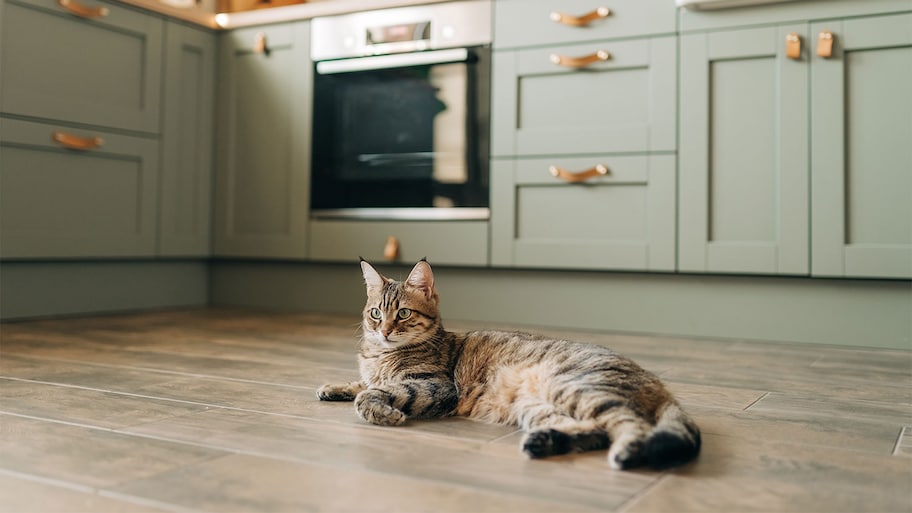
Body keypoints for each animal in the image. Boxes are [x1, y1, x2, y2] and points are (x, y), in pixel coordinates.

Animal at [318, 258, 700, 470]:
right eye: (375, 313)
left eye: (403, 314)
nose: (383, 331)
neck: (380, 355)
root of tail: (655, 381)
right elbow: (362, 383)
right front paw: (332, 386)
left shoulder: (436, 386)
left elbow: (371, 393)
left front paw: (383, 411)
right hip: (537, 406)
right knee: (594, 431)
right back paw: (543, 442)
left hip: (575, 387)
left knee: (628, 425)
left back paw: (626, 452)